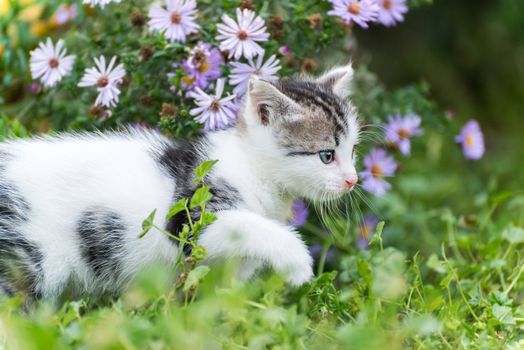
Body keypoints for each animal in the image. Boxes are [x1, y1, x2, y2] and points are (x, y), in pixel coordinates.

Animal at [0, 64, 360, 300]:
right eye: (326, 155)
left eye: (352, 151)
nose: (352, 180)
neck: (252, 168)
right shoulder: (189, 219)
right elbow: (246, 225)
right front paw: (298, 263)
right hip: (29, 259)